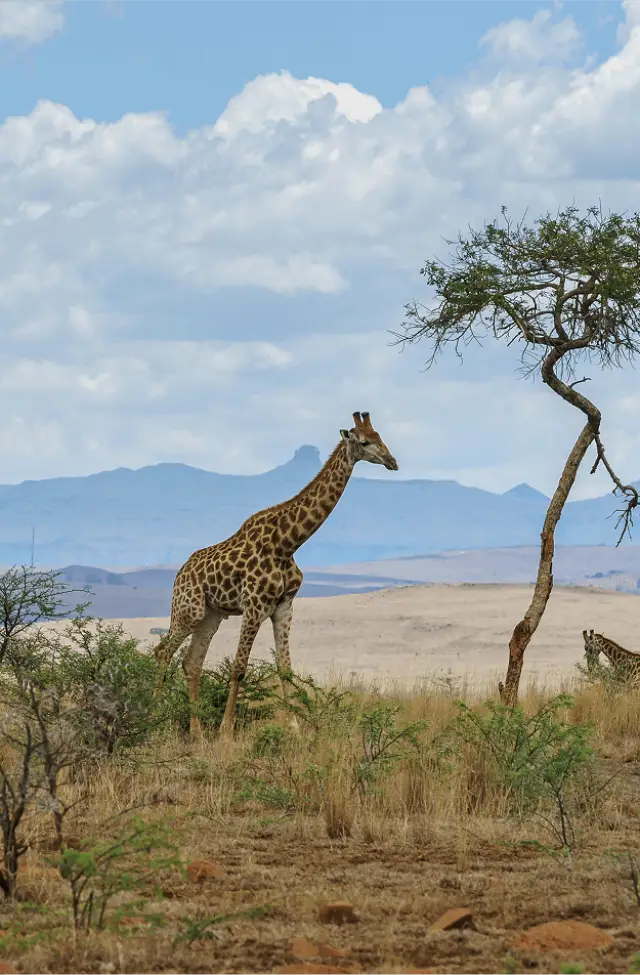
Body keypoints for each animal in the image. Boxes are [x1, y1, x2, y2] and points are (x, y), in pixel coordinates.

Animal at [154, 411, 399, 738]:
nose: (392, 461)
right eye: (364, 442)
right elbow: (239, 667)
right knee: (162, 653)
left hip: (211, 615)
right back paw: (153, 717)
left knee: (191, 662)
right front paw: (226, 731)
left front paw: (295, 727)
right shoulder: (255, 605)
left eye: (380, 436)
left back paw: (197, 732)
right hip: (188, 610)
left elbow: (285, 668)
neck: (288, 543)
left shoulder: (284, 606)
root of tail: (180, 573)